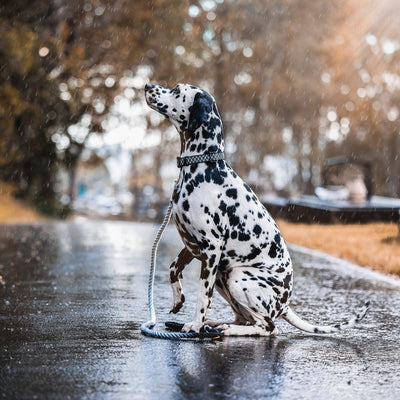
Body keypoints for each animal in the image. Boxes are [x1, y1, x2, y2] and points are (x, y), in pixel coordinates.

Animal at [144, 83, 368, 336]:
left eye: (176, 90)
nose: (148, 86)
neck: (203, 166)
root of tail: (284, 305)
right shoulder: (192, 244)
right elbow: (173, 268)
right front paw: (178, 299)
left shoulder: (211, 248)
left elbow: (202, 295)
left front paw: (196, 324)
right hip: (223, 274)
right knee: (245, 319)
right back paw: (217, 324)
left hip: (236, 276)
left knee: (267, 327)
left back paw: (224, 329)